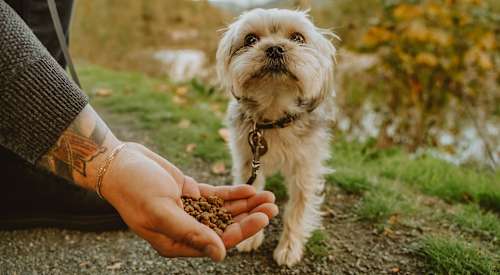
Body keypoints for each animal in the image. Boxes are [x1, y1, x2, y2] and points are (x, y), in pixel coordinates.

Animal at [217, 9, 338, 268]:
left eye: (298, 38)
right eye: (250, 39)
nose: (274, 48)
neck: (274, 117)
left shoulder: (305, 168)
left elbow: (298, 209)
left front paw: (289, 248)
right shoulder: (247, 159)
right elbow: (252, 193)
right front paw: (250, 236)